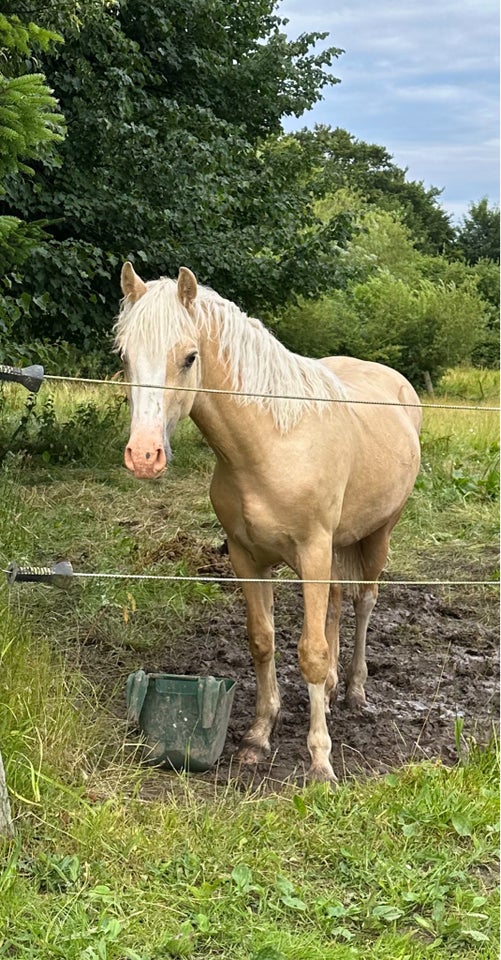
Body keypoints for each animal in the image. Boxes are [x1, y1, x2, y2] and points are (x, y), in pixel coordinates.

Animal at [115, 260, 420, 780]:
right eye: (125, 355)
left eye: (189, 357)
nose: (144, 456)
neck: (273, 443)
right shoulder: (247, 557)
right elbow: (263, 641)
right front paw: (258, 736)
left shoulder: (312, 553)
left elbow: (311, 652)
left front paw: (321, 763)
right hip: (337, 546)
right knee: (337, 604)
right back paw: (334, 691)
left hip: (378, 535)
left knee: (364, 602)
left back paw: (355, 691)